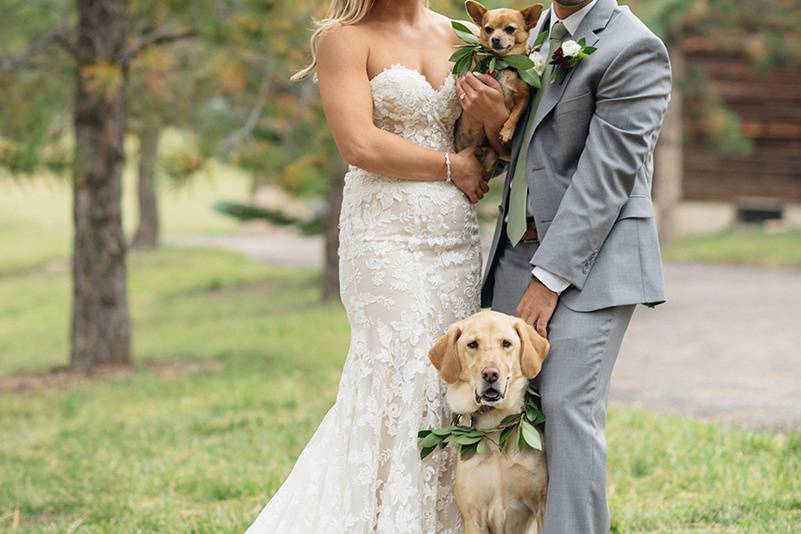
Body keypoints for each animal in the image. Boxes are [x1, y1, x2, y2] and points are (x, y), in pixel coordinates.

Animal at [428, 312, 548, 534]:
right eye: (472, 344)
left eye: (506, 343)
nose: (491, 374)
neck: (495, 426)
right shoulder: (474, 515)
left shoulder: (540, 506)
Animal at [456, 1, 544, 177]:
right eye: (488, 29)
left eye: (510, 29)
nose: (495, 39)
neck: (503, 64)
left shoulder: (523, 99)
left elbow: (514, 115)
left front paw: (507, 132)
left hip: (491, 158)